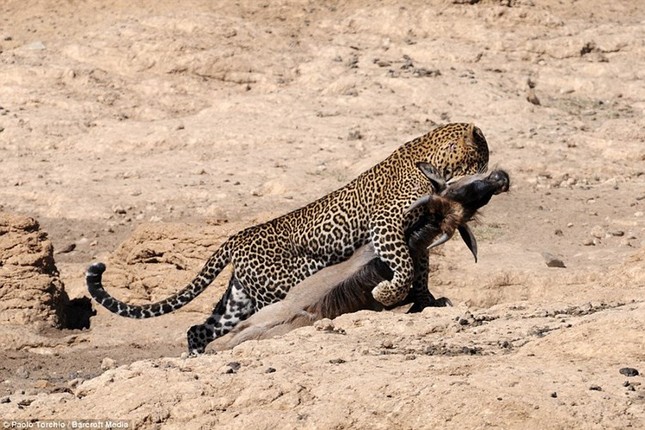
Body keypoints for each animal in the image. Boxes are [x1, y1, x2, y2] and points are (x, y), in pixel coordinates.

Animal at [85, 122, 488, 354]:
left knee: (200, 329)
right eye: (482, 155)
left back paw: (197, 358)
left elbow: (420, 266)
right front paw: (388, 293)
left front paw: (427, 301)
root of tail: (236, 238)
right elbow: (404, 265)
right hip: (277, 288)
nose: (489, 171)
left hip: (240, 297)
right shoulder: (386, 225)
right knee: (260, 321)